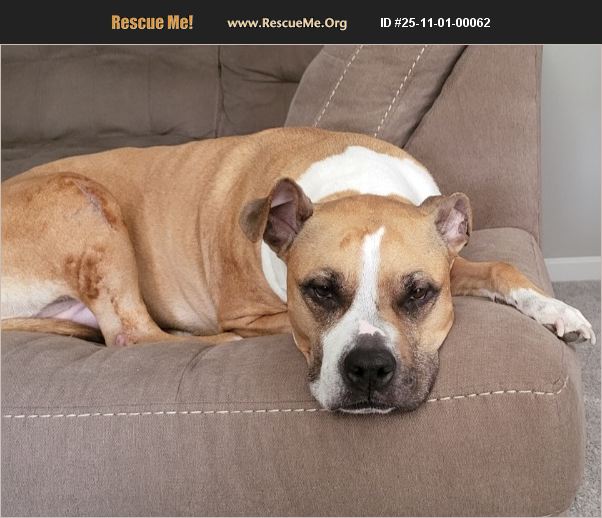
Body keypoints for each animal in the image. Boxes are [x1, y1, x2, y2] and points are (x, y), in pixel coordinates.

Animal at [2, 127, 595, 413]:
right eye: (320, 291)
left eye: (420, 293)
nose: (369, 369)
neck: (357, 187)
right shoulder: (252, 314)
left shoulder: (452, 260)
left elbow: (499, 267)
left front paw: (558, 310)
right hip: (84, 197)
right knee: (131, 334)